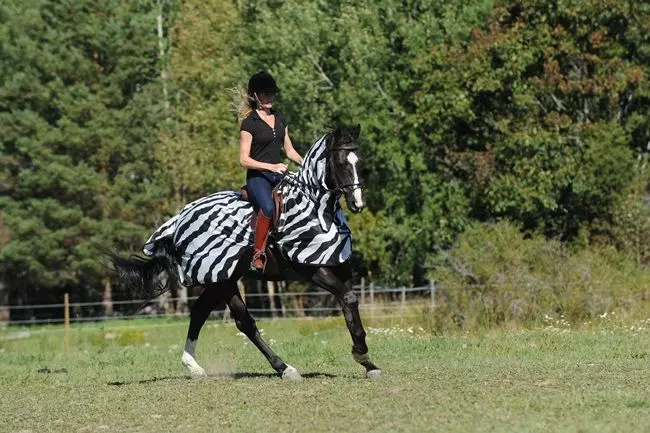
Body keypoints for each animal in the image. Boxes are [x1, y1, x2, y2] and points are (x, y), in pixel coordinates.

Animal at [106, 124, 380, 378]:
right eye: (341, 162)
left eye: (359, 161)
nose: (358, 203)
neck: (316, 209)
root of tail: (181, 219)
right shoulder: (310, 268)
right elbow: (348, 298)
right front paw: (361, 354)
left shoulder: (338, 265)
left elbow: (350, 302)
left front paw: (368, 362)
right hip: (223, 279)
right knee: (243, 321)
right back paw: (284, 367)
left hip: (222, 277)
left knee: (200, 311)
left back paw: (194, 366)